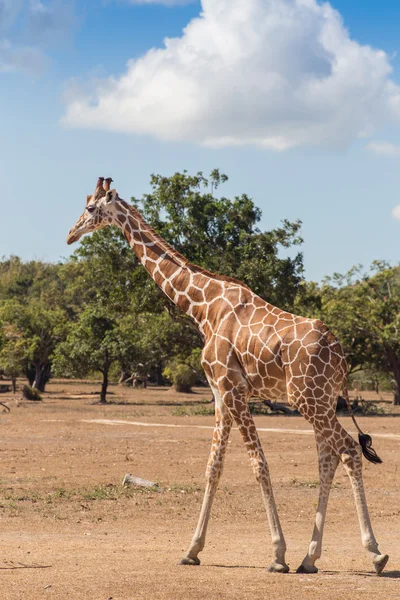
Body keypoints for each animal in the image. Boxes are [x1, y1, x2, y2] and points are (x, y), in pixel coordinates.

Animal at [67, 179, 390, 576]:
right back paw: (310, 558)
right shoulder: (221, 394)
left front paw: (277, 554)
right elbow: (213, 467)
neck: (202, 308)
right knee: (327, 459)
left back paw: (374, 553)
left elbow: (259, 465)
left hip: (308, 399)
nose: (70, 234)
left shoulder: (232, 388)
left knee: (347, 450)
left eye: (91, 208)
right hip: (323, 400)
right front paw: (191, 550)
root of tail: (340, 352)